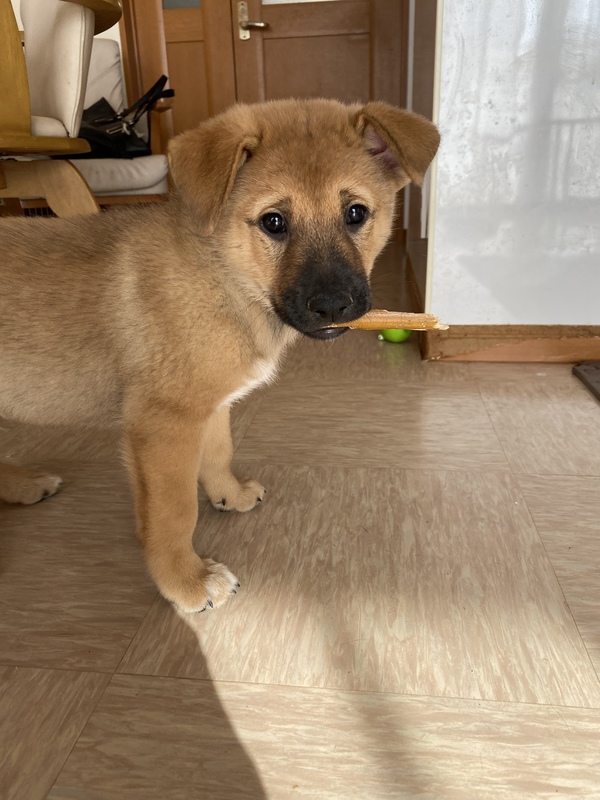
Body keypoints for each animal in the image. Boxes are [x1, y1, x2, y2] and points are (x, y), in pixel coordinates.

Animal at [0, 99, 439, 612]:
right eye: (274, 222)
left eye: (355, 213)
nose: (333, 306)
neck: (226, 277)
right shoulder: (164, 422)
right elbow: (174, 512)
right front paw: (185, 581)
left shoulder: (209, 404)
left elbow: (218, 452)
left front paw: (229, 494)